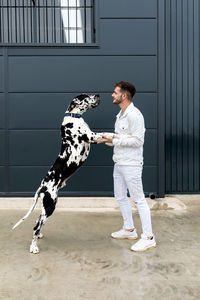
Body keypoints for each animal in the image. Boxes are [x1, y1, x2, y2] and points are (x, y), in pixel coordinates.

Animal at [12, 93, 103, 253]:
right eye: (86, 97)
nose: (98, 95)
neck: (74, 116)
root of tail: (42, 187)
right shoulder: (92, 136)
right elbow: (109, 133)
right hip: (50, 206)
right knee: (36, 226)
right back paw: (33, 247)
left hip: (47, 206)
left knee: (37, 221)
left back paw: (39, 237)